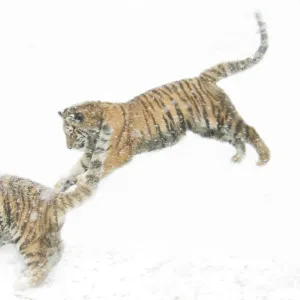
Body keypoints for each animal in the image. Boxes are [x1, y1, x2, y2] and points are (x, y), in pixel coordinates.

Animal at [0, 123, 112, 288]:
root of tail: (51, 197)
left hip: (28, 237)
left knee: (39, 266)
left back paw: (21, 285)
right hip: (48, 234)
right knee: (57, 250)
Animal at [55, 12, 270, 192]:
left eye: (71, 132)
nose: (68, 147)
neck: (93, 135)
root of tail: (202, 77)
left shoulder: (116, 154)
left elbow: (94, 172)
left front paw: (81, 184)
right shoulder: (91, 154)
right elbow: (71, 173)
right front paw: (55, 191)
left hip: (220, 118)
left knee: (249, 131)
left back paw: (264, 159)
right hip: (209, 128)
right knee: (237, 138)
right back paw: (238, 158)